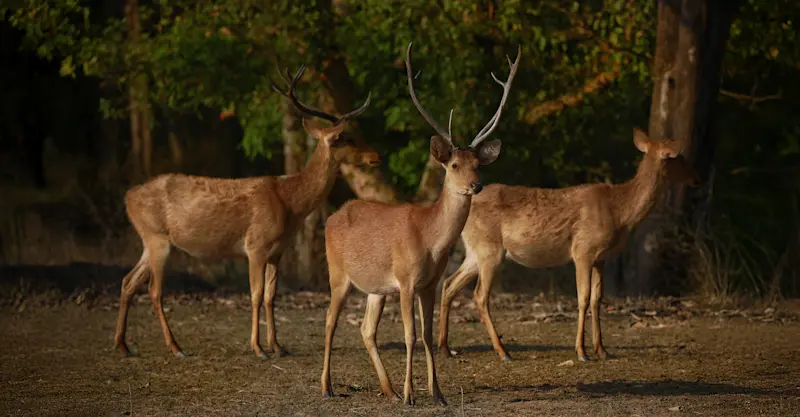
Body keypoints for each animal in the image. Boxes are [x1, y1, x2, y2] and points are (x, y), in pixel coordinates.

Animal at [113, 65, 379, 359]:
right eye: (347, 138)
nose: (376, 156)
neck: (290, 203)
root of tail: (128, 197)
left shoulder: (277, 250)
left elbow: (271, 295)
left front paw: (278, 346)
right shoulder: (256, 245)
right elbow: (255, 294)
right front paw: (258, 348)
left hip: (149, 239)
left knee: (128, 281)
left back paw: (123, 345)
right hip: (157, 237)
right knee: (153, 290)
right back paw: (175, 347)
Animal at [319, 42, 520, 406]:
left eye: (478, 164)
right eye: (454, 165)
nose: (476, 185)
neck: (429, 241)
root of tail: (332, 216)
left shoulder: (429, 284)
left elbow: (426, 335)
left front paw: (437, 393)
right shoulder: (405, 280)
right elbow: (410, 336)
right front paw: (411, 395)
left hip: (375, 288)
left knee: (366, 329)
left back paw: (387, 390)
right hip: (337, 272)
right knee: (329, 321)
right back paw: (327, 387)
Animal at [437, 128, 701, 362]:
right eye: (678, 157)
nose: (696, 178)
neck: (620, 212)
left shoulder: (601, 258)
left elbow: (597, 299)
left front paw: (602, 350)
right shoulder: (583, 250)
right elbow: (583, 298)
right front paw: (582, 352)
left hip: (475, 251)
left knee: (449, 284)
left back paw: (446, 348)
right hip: (490, 249)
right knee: (480, 295)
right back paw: (503, 352)